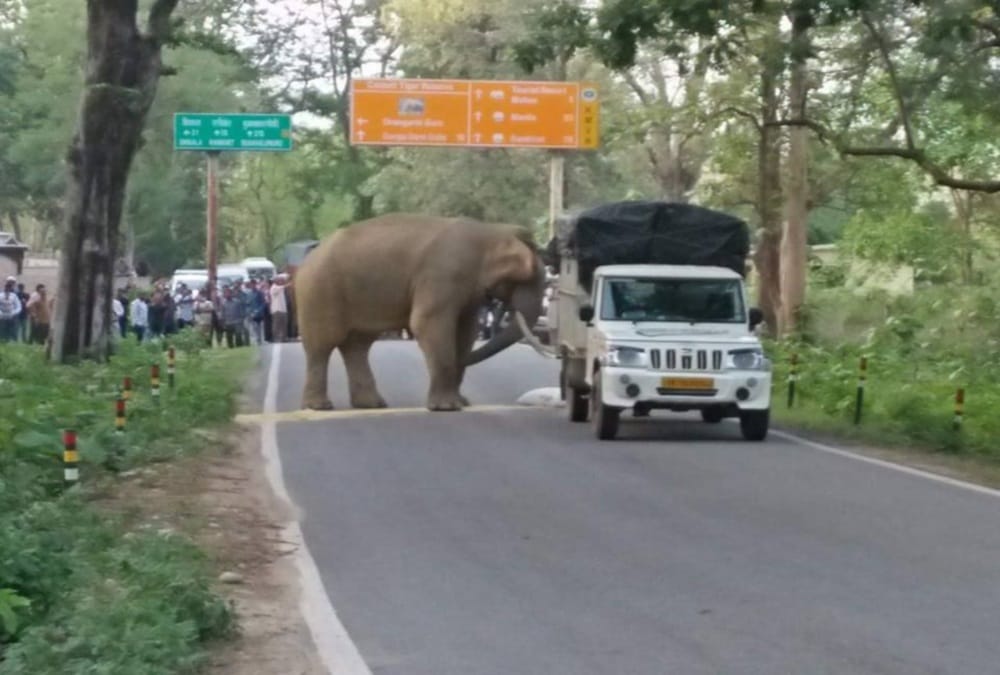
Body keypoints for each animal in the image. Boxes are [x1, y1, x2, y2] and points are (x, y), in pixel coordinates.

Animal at [293, 212, 548, 412]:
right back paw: (319, 407)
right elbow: (427, 323)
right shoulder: (443, 275)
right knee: (322, 344)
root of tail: (306, 261)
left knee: (357, 346)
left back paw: (371, 404)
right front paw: (446, 407)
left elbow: (465, 330)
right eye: (532, 278)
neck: (491, 231)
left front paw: (461, 402)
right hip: (320, 291)